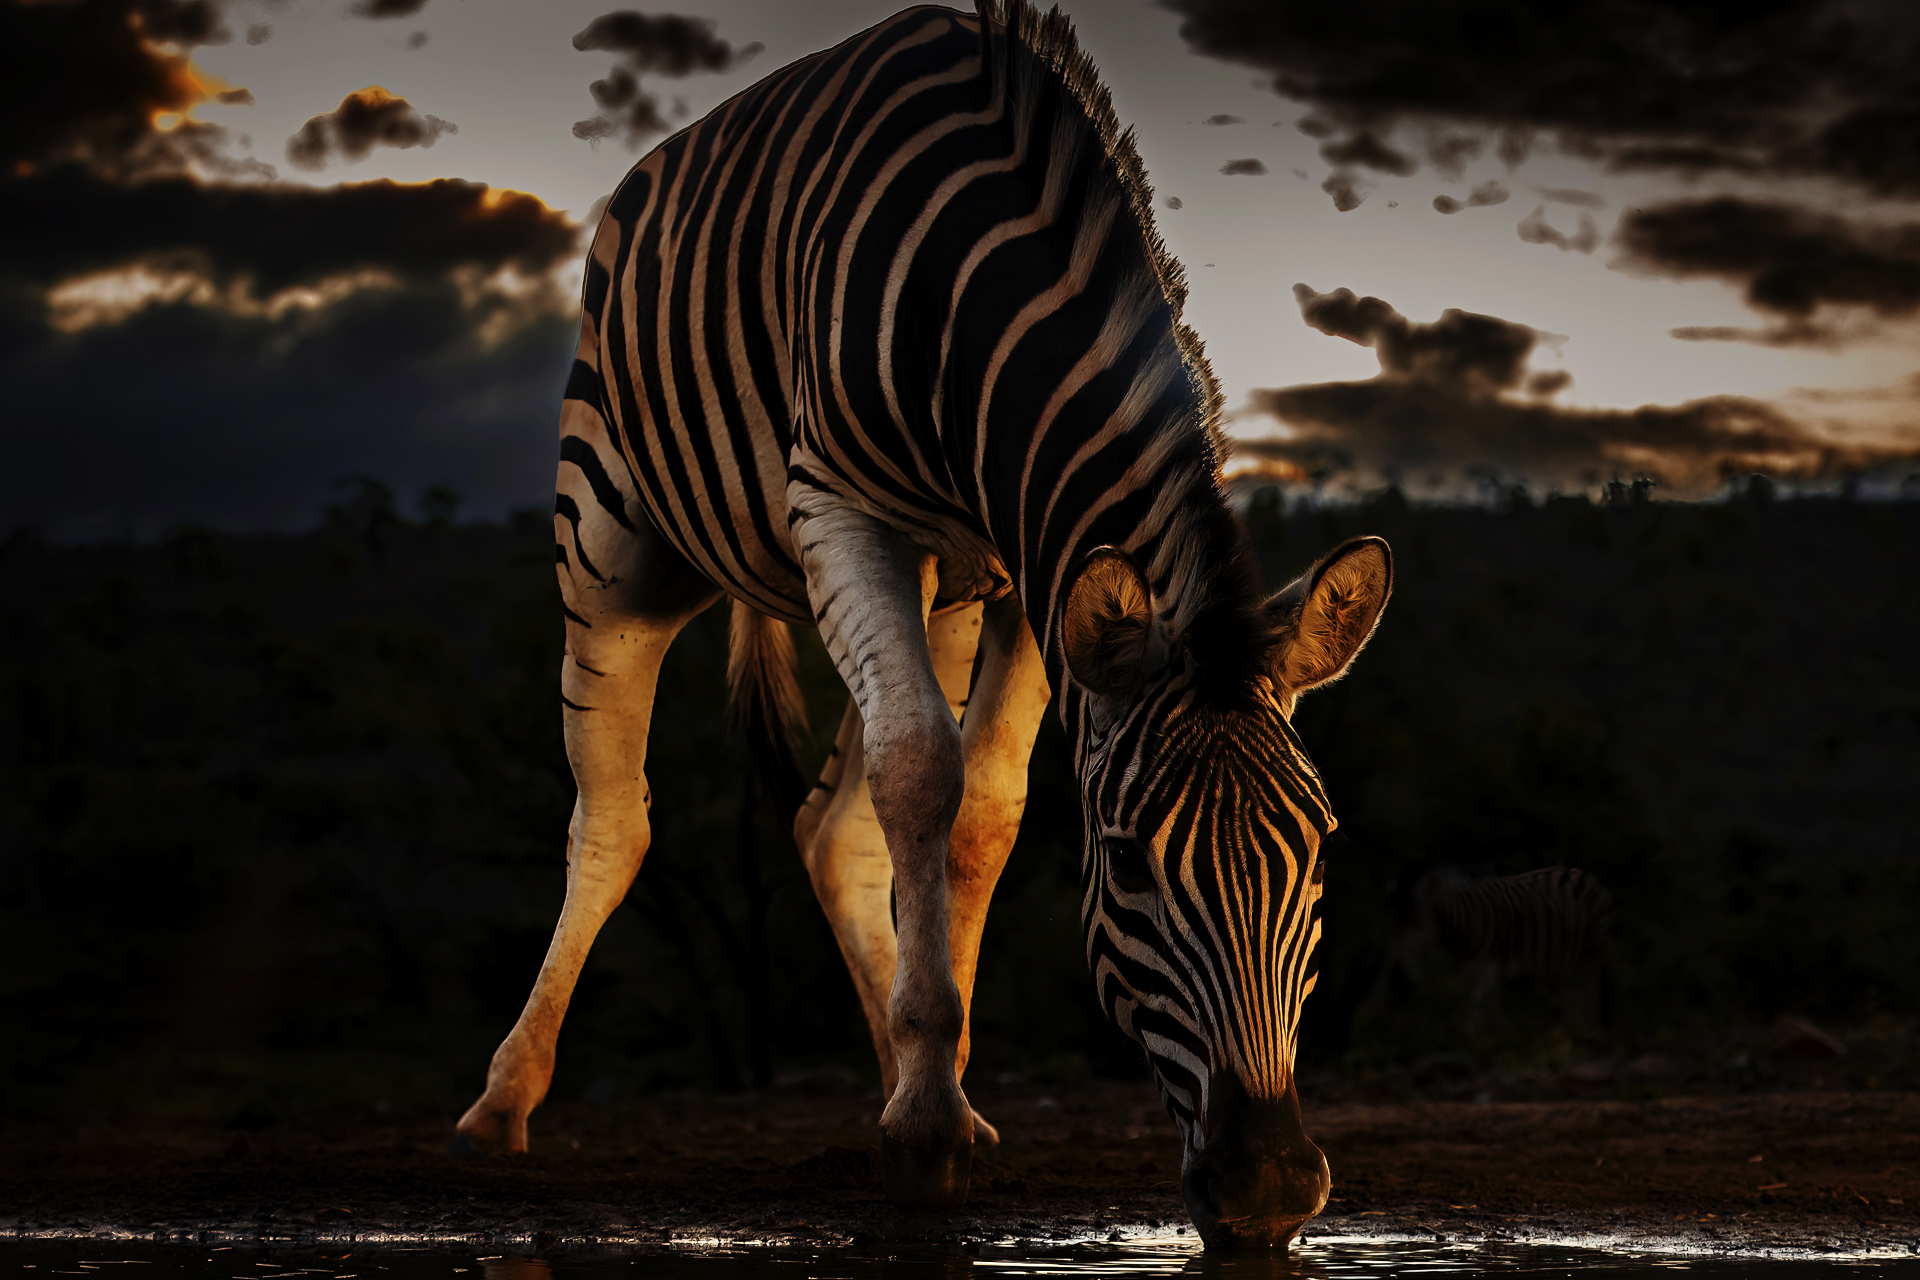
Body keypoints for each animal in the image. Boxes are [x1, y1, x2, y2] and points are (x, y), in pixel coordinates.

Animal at [452, 0, 1392, 1248]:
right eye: (1128, 863)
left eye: (1321, 846)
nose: (1273, 1187)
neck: (989, 303)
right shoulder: (843, 509)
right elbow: (916, 774)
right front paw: (926, 1118)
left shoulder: (1031, 576)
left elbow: (978, 811)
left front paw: (932, 1093)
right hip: (611, 537)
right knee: (614, 820)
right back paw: (503, 1101)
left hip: (938, 591)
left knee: (831, 823)